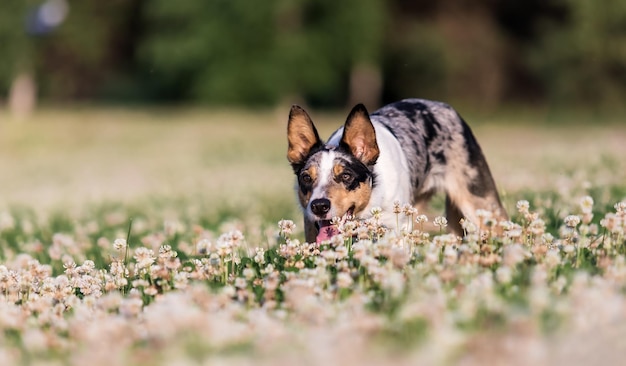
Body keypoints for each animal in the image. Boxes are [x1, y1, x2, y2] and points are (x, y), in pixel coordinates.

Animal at [286, 98, 504, 243]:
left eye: (346, 176)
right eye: (306, 178)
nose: (319, 206)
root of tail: (444, 106)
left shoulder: (397, 227)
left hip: (479, 204)